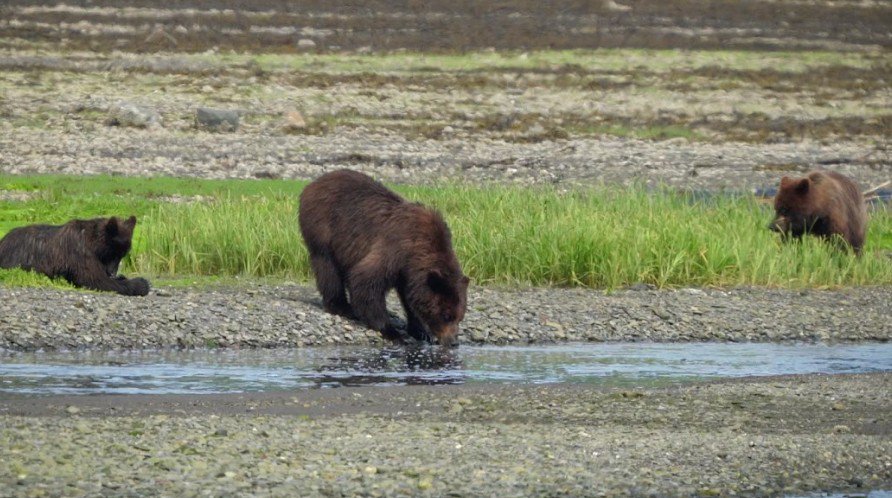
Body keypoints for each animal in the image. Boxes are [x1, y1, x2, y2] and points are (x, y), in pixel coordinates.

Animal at [0, 216, 151, 296]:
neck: (92, 244)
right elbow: (96, 279)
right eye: (113, 253)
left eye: (122, 255)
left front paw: (123, 277)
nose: (112, 272)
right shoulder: (79, 254)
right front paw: (141, 283)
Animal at [299, 169, 469, 346]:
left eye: (460, 316)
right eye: (446, 315)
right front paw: (392, 332)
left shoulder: (408, 273)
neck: (418, 252)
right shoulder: (395, 249)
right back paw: (342, 307)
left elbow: (411, 298)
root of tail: (314, 183)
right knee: (327, 268)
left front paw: (421, 331)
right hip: (323, 228)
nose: (453, 341)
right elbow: (366, 281)